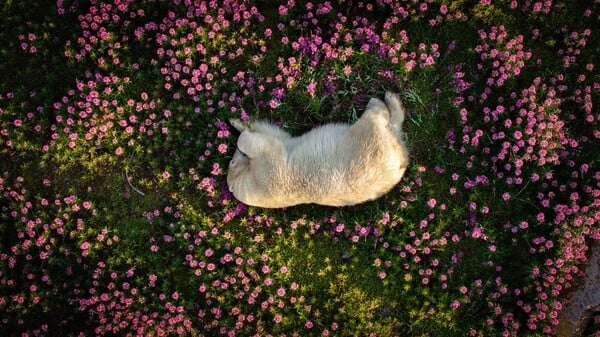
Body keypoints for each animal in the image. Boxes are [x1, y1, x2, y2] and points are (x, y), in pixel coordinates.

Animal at [225, 92, 408, 207]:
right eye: (232, 161)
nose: (235, 156)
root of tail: (399, 163)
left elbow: (272, 134)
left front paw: (236, 122)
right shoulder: (267, 174)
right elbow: (258, 142)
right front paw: (240, 127)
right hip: (368, 142)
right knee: (378, 119)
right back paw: (384, 100)